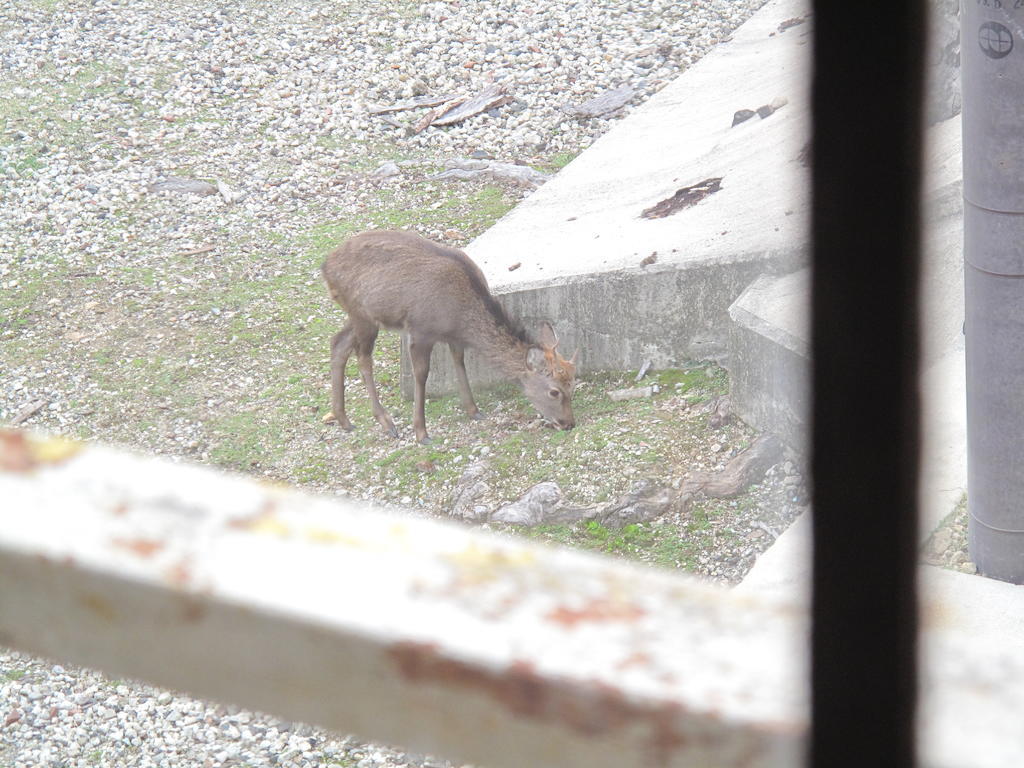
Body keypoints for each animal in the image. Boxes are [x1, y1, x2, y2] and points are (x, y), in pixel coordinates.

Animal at [321, 228, 577, 444]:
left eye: (572, 384)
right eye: (554, 391)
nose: (568, 423)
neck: (459, 317)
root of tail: (325, 266)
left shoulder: (453, 337)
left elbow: (459, 362)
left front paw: (473, 410)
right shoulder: (420, 330)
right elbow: (421, 375)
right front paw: (421, 432)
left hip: (357, 315)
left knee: (338, 342)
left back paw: (343, 419)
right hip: (363, 314)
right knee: (363, 358)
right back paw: (386, 422)